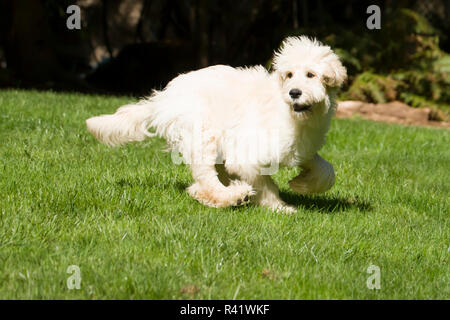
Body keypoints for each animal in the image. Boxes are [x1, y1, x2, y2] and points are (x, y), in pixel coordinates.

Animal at [86, 36, 346, 214]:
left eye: (311, 75)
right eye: (290, 75)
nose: (294, 93)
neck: (293, 116)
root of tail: (164, 97)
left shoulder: (301, 148)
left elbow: (327, 171)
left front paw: (301, 184)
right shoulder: (246, 155)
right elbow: (263, 183)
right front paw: (278, 207)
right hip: (202, 134)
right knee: (205, 179)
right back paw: (230, 196)